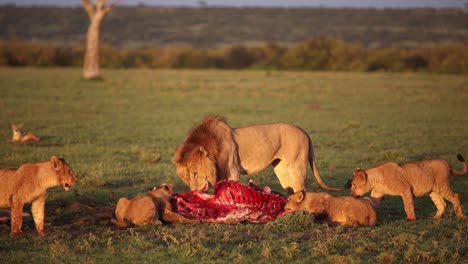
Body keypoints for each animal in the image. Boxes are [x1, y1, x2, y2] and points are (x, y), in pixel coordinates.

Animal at [172, 115, 348, 194]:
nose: (194, 191)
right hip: (281, 168)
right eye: (186, 177)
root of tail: (304, 131)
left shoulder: (232, 170)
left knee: (300, 188)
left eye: (195, 173)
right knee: (290, 188)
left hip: (297, 166)